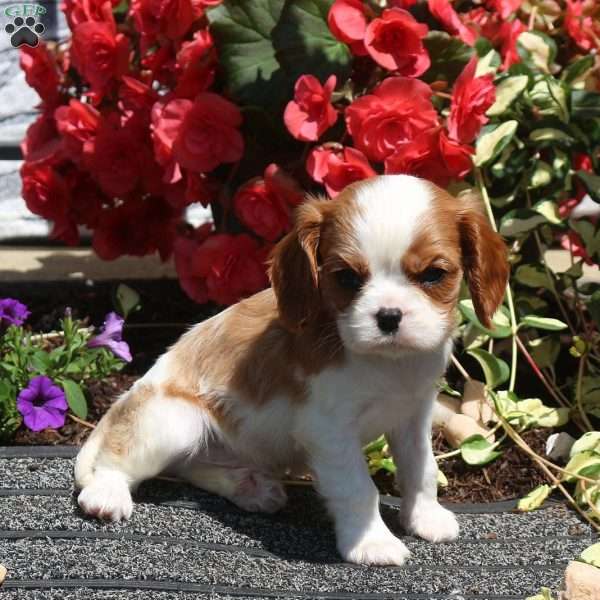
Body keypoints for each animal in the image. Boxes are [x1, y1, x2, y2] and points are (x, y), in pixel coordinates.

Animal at [74, 175, 506, 568]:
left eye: (433, 274)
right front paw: (372, 543)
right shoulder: (329, 430)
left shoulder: (413, 414)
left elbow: (421, 468)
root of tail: (125, 400)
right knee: (119, 460)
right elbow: (358, 487)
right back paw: (107, 494)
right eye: (346, 277)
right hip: (172, 420)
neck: (389, 363)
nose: (388, 316)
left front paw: (425, 518)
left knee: (189, 466)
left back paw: (247, 486)